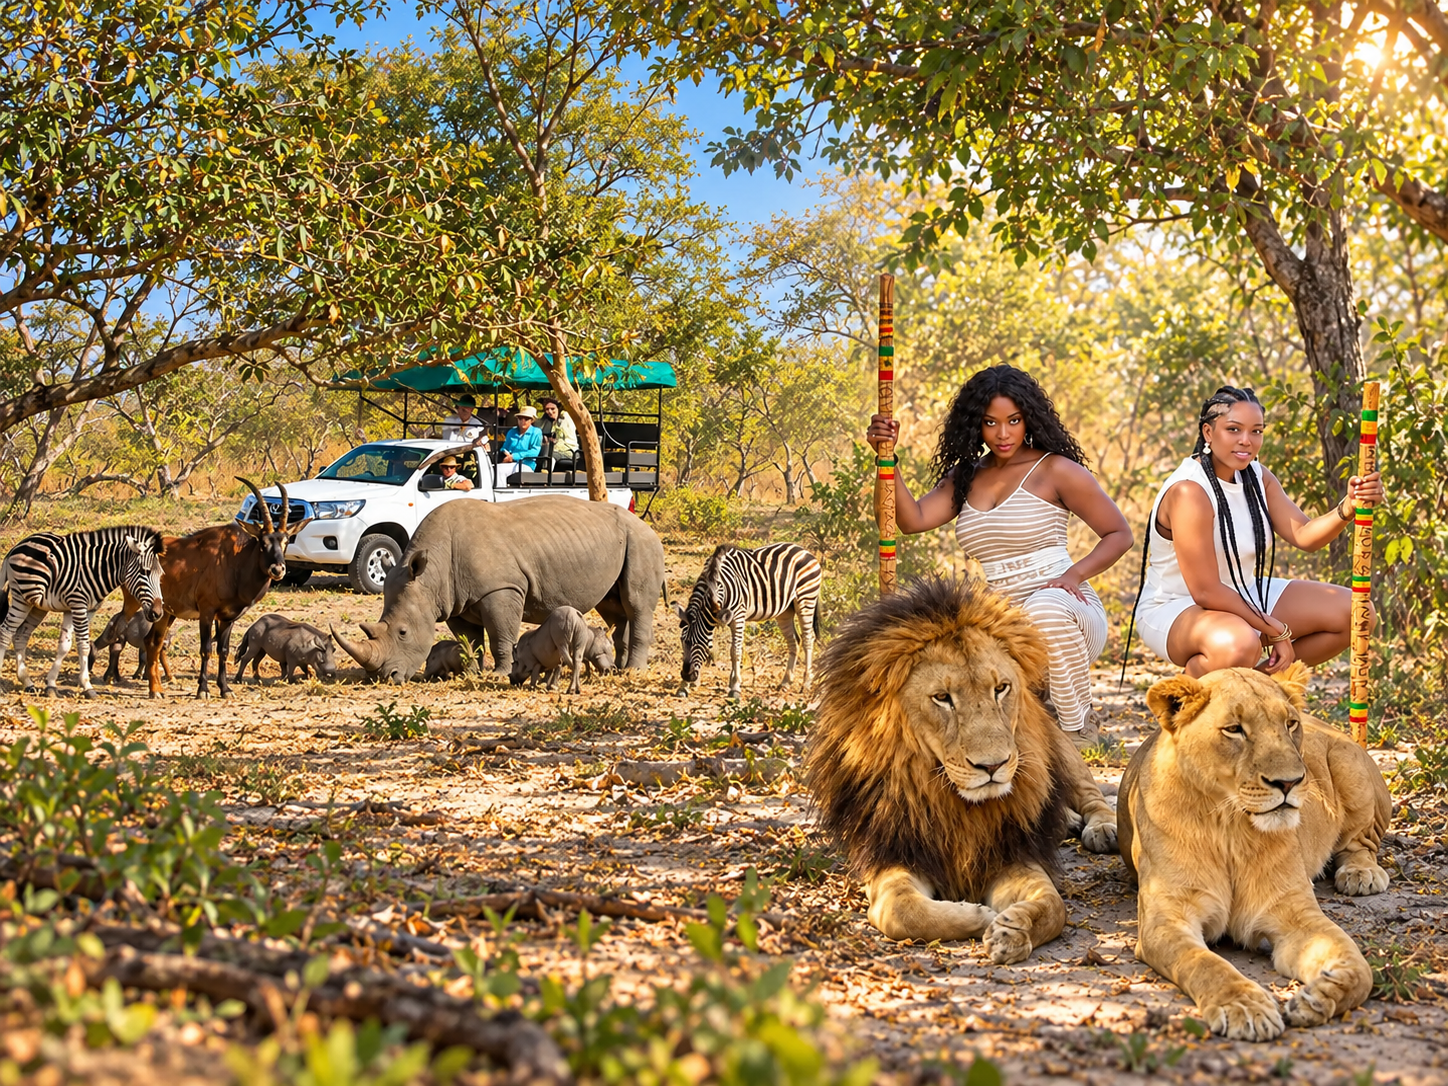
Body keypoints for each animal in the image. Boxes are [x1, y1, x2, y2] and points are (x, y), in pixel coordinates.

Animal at [807, 576, 1118, 963]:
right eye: (942, 698)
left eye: (1001, 688)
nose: (993, 765)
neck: (952, 803)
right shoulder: (891, 853)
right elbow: (904, 911)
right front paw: (979, 915)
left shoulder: (1011, 854)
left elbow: (1053, 906)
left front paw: (1012, 930)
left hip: (1061, 749)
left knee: (1092, 796)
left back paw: (1101, 828)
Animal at [1120, 664, 1391, 1042]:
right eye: (1234, 730)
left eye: (1290, 724)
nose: (1290, 782)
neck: (1231, 829)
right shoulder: (1166, 919)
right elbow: (1205, 964)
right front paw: (1244, 1007)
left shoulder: (1295, 913)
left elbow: (1359, 967)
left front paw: (1320, 997)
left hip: (1348, 766)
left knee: (1361, 842)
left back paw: (1360, 873)